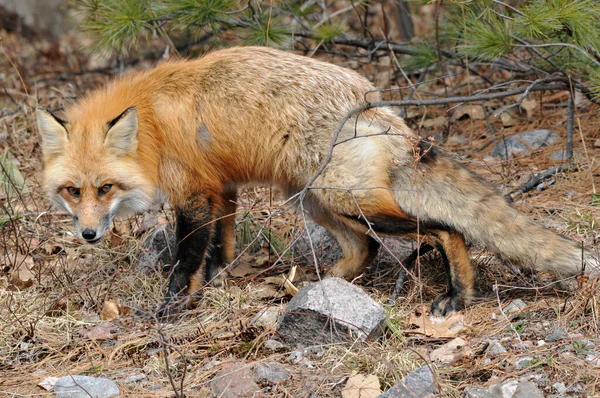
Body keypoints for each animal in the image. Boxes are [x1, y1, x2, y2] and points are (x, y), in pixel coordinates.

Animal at [35, 45, 596, 314]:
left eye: (105, 188)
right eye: (72, 191)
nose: (88, 234)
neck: (150, 126)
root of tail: (376, 104)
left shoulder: (194, 195)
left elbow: (186, 259)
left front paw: (171, 309)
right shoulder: (222, 189)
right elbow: (221, 247)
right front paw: (216, 282)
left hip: (342, 198)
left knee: (447, 229)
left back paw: (458, 296)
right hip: (311, 200)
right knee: (364, 250)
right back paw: (317, 290)